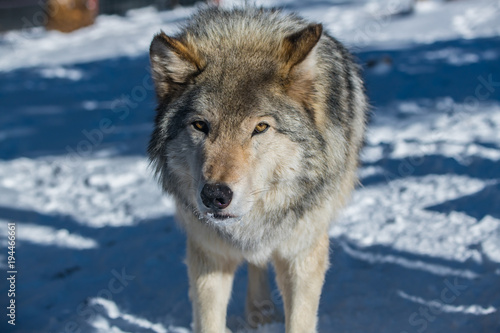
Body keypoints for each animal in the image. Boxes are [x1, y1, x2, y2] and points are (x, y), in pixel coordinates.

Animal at [148, 5, 368, 332]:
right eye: (200, 125)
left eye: (261, 128)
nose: (215, 195)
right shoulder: (208, 253)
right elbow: (209, 321)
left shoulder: (302, 253)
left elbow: (299, 321)